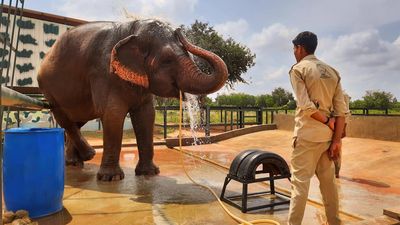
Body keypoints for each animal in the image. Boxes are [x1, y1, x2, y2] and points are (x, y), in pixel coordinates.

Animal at [38, 19, 228, 181]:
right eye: (167, 60)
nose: (180, 30)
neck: (133, 29)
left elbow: (146, 116)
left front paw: (149, 173)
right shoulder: (104, 72)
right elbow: (113, 114)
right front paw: (111, 178)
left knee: (77, 121)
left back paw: (75, 163)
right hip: (48, 90)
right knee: (65, 119)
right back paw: (88, 155)